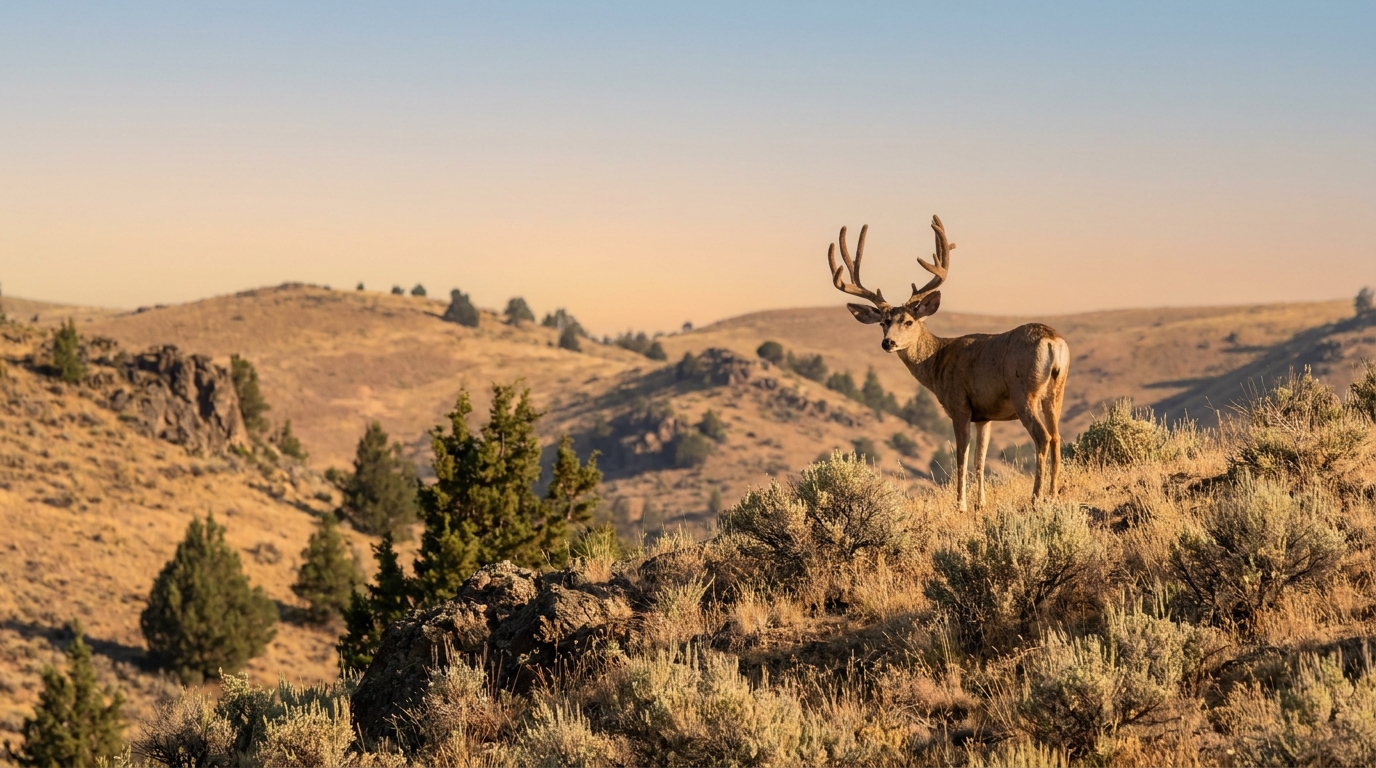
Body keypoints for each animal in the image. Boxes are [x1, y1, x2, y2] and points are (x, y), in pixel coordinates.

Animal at [827, 215, 1069, 511]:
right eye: (884, 322)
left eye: (909, 321)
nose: (888, 343)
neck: (937, 361)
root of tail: (1053, 342)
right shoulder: (985, 415)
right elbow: (980, 459)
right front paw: (980, 504)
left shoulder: (959, 404)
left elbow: (961, 457)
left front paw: (961, 504)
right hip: (1056, 392)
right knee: (1057, 437)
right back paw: (1053, 494)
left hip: (1024, 390)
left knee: (1042, 436)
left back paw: (1036, 498)